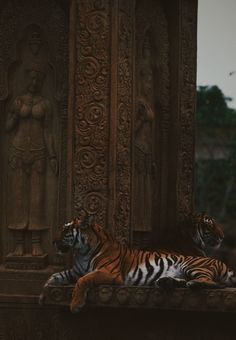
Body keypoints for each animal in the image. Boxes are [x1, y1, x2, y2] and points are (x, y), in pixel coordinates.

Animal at [39, 212, 233, 314]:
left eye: (65, 231)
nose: (53, 242)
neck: (81, 252)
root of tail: (222, 263)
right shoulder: (74, 271)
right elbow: (54, 276)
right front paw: (42, 296)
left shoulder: (109, 273)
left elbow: (83, 280)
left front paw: (75, 304)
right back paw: (166, 282)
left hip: (194, 266)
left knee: (213, 283)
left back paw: (193, 284)